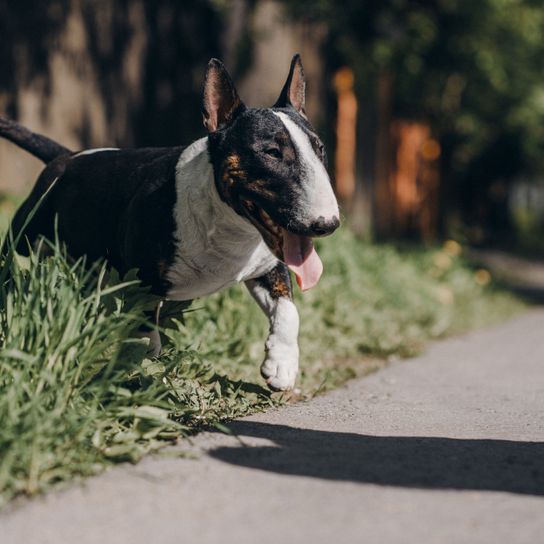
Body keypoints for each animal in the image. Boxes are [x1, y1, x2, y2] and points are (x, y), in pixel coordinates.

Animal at [1, 56, 340, 392]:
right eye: (271, 152)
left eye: (320, 149)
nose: (328, 224)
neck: (231, 226)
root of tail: (66, 157)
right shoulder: (141, 277)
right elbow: (146, 332)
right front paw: (139, 370)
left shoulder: (268, 265)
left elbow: (288, 310)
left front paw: (281, 366)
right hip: (24, 240)